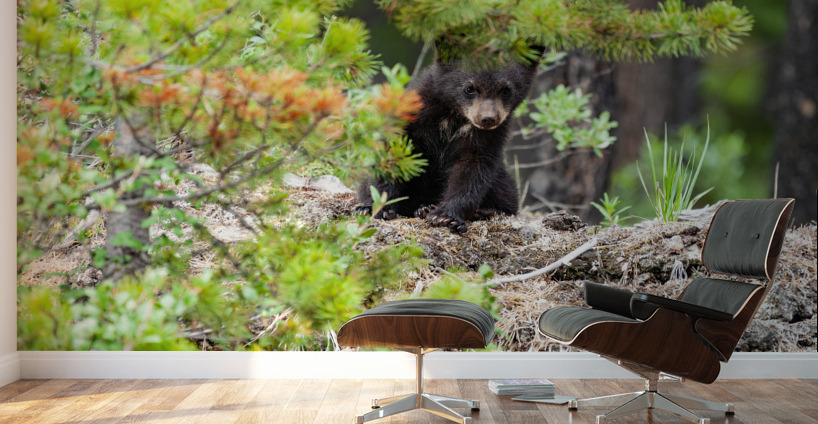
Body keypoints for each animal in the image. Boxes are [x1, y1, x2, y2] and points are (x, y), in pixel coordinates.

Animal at [357, 54, 540, 233]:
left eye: (506, 90)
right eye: (469, 88)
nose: (487, 119)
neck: (453, 117)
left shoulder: (488, 137)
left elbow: (473, 169)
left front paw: (446, 217)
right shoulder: (414, 116)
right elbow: (393, 152)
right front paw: (374, 207)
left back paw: (483, 210)